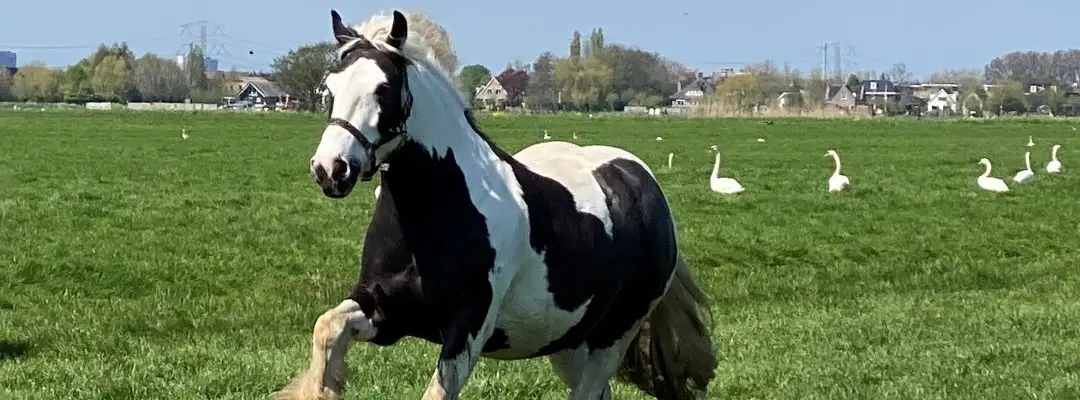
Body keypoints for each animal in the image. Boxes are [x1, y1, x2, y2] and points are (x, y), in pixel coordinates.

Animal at [278, 9, 719, 400]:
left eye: (383, 90)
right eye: (330, 90)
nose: (331, 169)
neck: (436, 215)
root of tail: (643, 183)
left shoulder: (468, 329)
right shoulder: (383, 310)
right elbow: (326, 328)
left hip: (613, 335)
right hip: (566, 341)